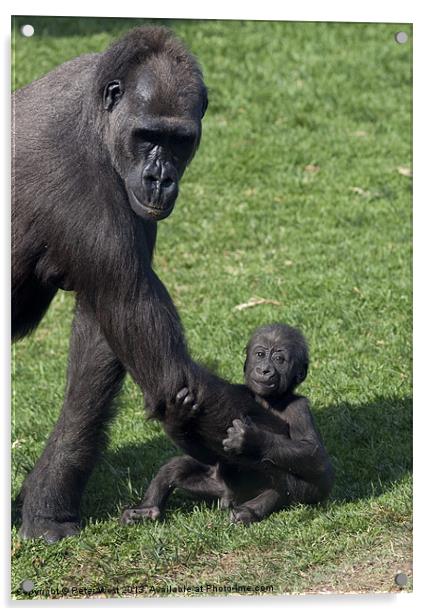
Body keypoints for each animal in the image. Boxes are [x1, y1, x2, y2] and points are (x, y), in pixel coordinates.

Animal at [11, 26, 264, 540]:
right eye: (147, 135)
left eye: (178, 141)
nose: (159, 178)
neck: (95, 114)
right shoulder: (84, 187)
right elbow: (160, 361)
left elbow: (102, 342)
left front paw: (49, 500)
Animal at [122, 322, 338, 524]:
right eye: (260, 354)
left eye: (279, 360)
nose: (265, 370)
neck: (268, 400)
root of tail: (229, 498)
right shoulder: (238, 392)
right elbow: (206, 452)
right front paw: (176, 419)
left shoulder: (299, 408)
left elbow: (315, 455)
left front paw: (251, 439)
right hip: (214, 487)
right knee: (178, 467)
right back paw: (147, 509)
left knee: (304, 483)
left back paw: (252, 509)